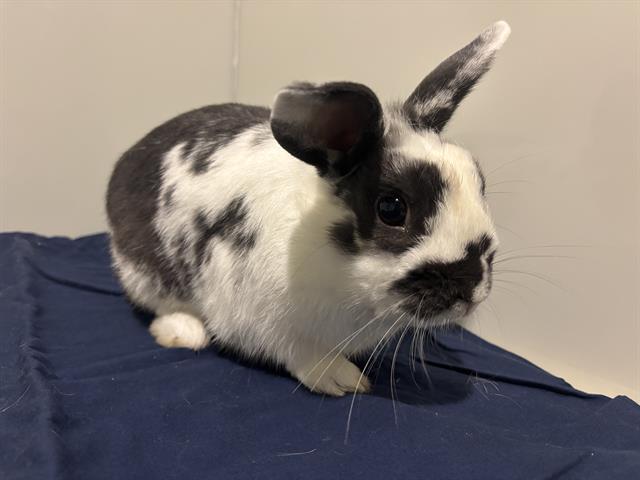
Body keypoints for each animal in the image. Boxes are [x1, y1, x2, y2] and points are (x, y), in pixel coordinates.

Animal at [106, 21, 510, 396]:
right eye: (392, 209)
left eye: (479, 181)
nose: (472, 286)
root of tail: (127, 162)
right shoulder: (262, 320)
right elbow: (302, 354)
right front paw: (343, 379)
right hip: (144, 273)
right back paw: (185, 332)